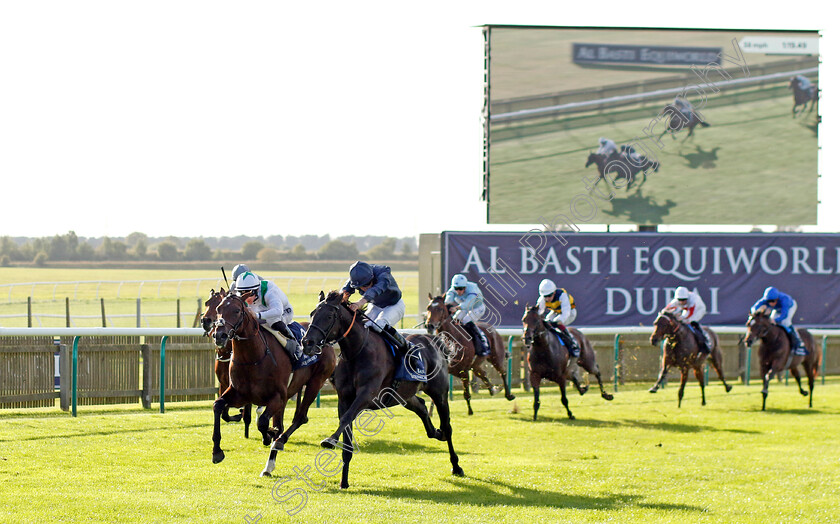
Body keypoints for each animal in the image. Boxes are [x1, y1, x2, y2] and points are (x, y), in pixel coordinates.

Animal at [201, 286, 251, 438]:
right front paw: (237, 414)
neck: (226, 353)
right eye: (206, 303)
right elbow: (224, 413)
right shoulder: (223, 384)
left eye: (216, 305)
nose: (205, 320)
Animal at [302, 292, 462, 490]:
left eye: (330, 316)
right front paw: (343, 481)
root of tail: (434, 341)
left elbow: (346, 418)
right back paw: (436, 433)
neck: (357, 351)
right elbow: (346, 432)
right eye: (312, 313)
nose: (307, 343)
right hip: (404, 395)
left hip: (439, 394)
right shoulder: (344, 398)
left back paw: (456, 465)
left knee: (447, 426)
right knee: (422, 407)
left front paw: (329, 440)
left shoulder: (366, 394)